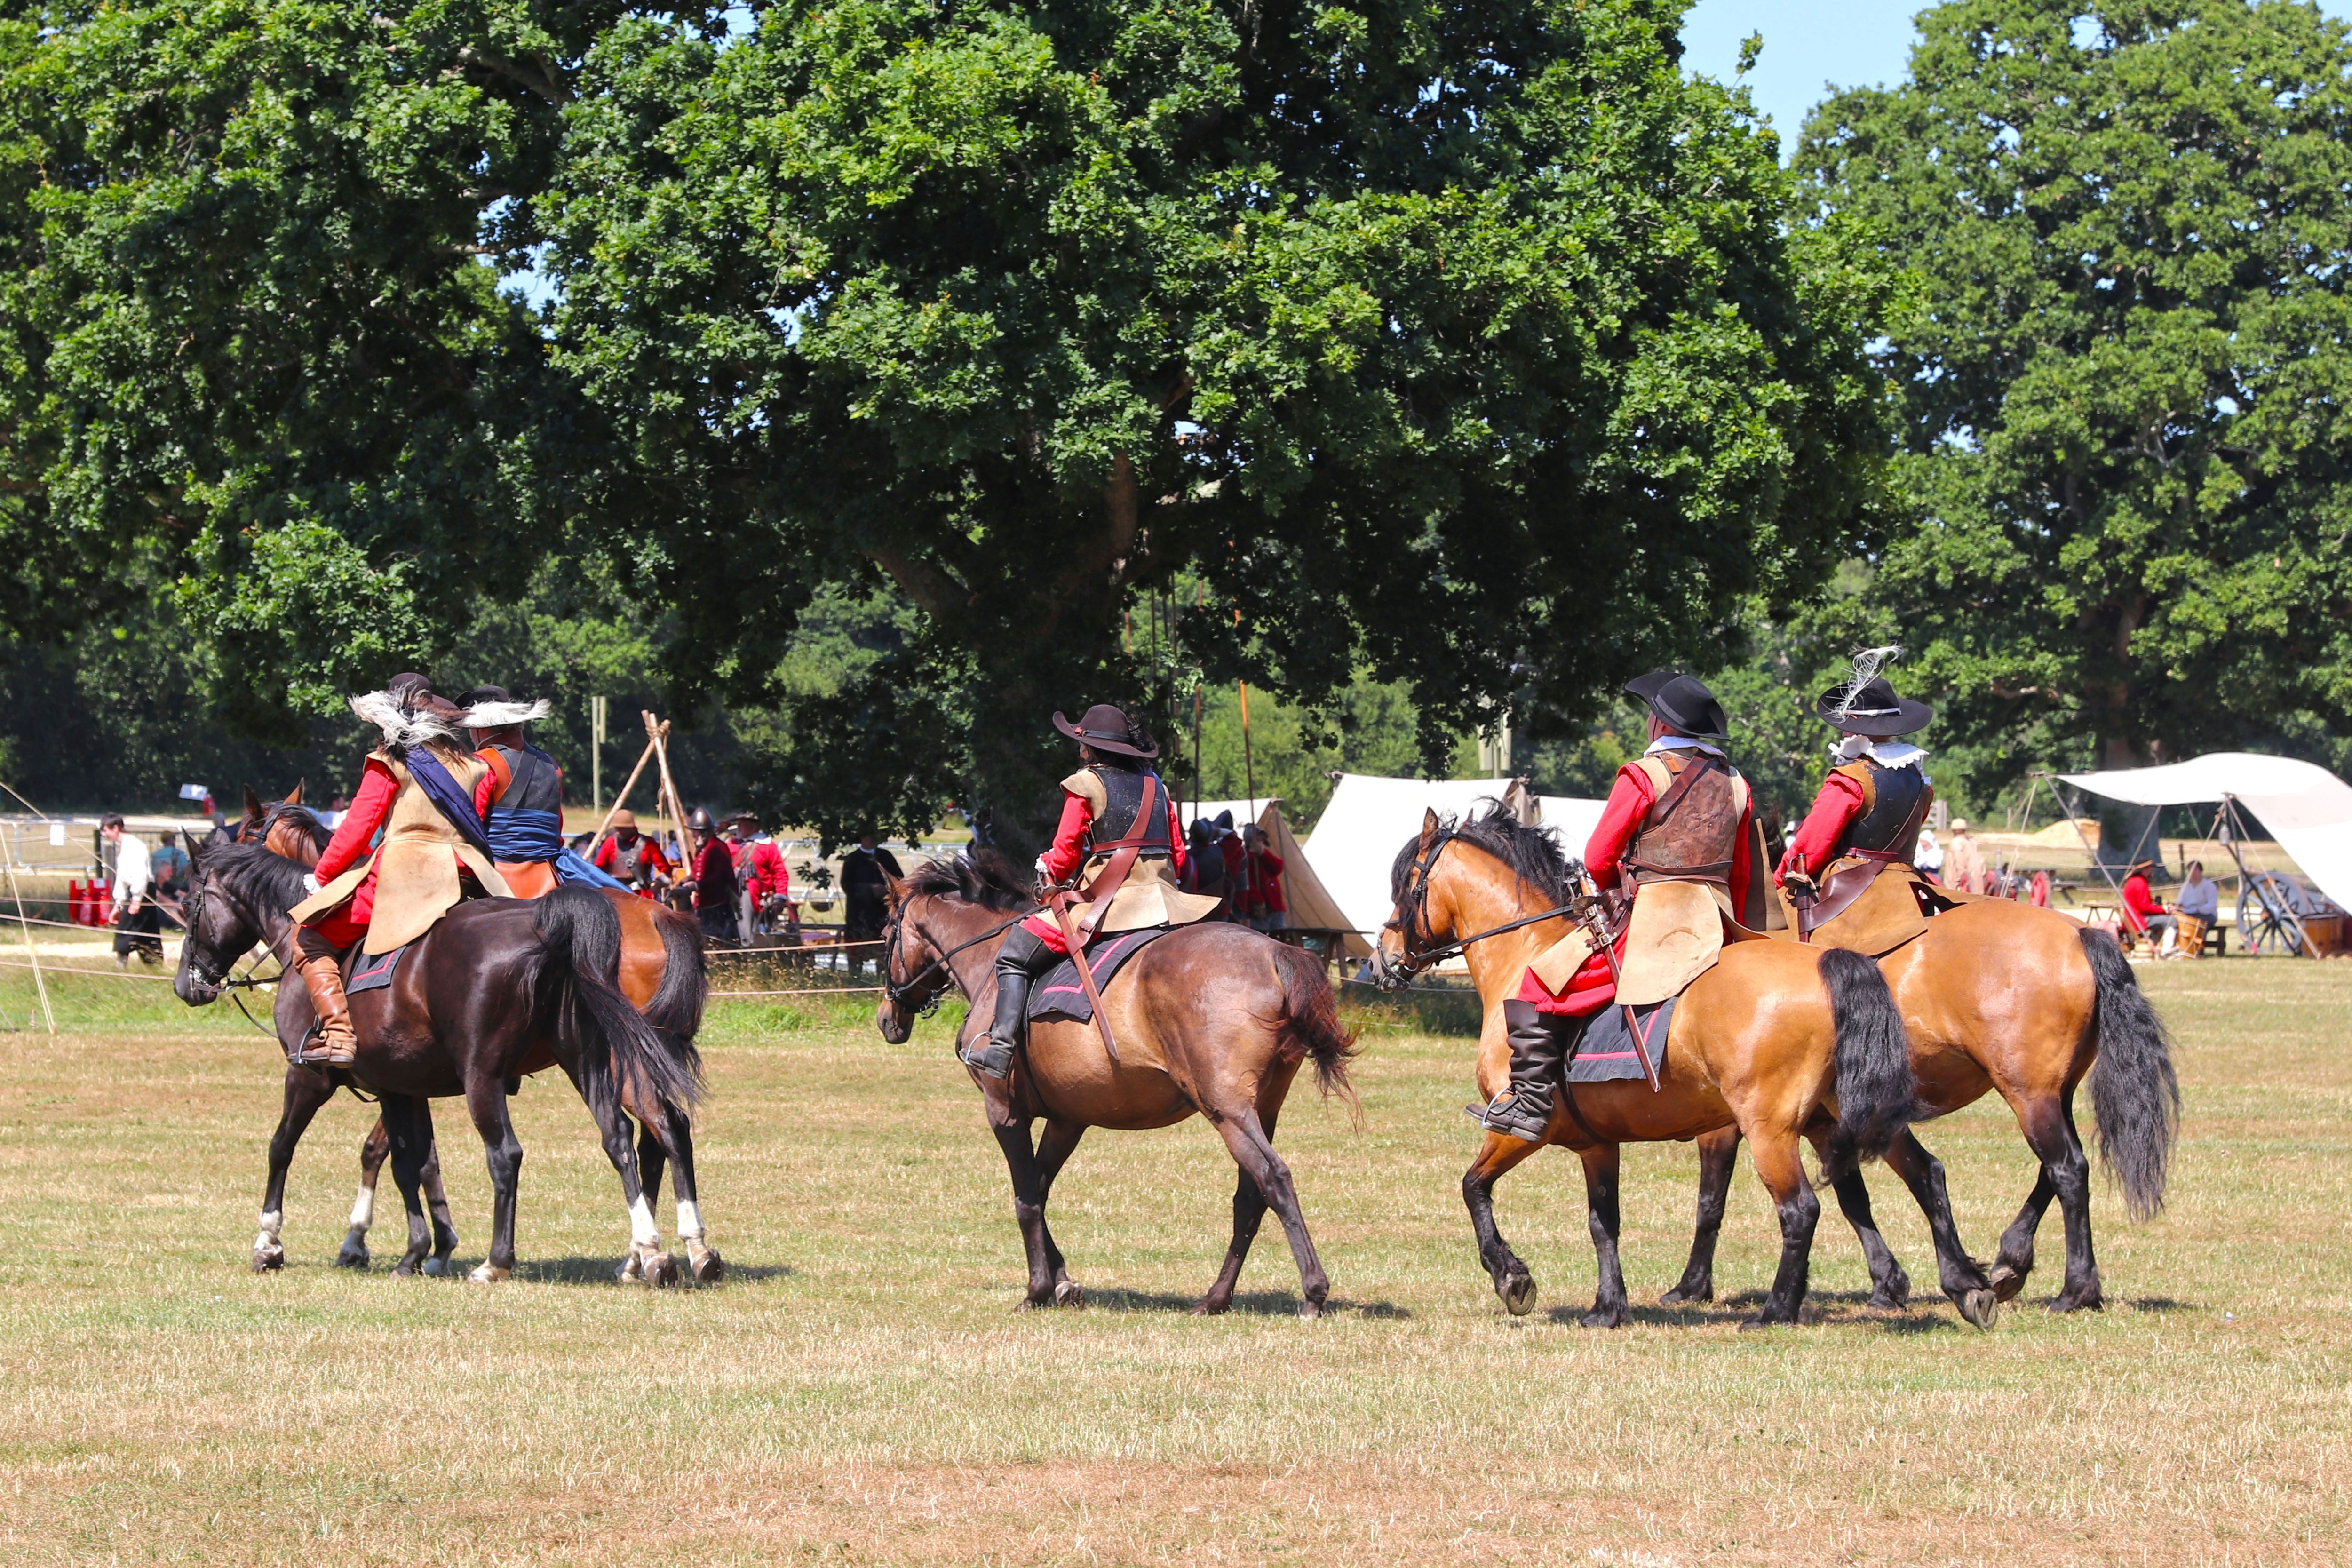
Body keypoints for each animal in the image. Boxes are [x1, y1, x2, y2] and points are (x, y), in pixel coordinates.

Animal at [174, 832, 718, 1284]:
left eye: (187, 901)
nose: (186, 986)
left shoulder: (310, 1079)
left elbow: (285, 1148)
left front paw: (271, 1242)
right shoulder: (402, 1087)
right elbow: (411, 1161)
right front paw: (425, 1250)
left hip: (496, 1077)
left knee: (513, 1154)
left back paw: (500, 1263)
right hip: (590, 1064)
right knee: (635, 1136)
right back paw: (661, 1254)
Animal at [875, 852, 1357, 1317]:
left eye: (885, 936)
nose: (886, 1019)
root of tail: (1274, 953)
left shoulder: (1005, 1113)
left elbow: (1026, 1199)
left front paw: (1038, 1290)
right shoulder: (1067, 1120)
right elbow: (1041, 1189)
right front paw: (1064, 1282)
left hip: (1228, 1112)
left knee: (1274, 1178)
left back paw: (1313, 1294)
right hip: (1262, 1109)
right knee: (1250, 1197)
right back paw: (1216, 1299)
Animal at [1376, 807, 1937, 1329]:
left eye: (1406, 885)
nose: (1384, 958)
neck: (1526, 953)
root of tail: (1822, 961)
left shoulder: (1520, 1132)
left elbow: (1473, 1187)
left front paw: (1511, 1277)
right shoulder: (1597, 1145)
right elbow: (1603, 1223)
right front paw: (1608, 1307)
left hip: (1769, 1130)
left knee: (1801, 1209)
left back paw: (1776, 1310)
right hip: (1835, 1118)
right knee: (1908, 1176)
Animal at [1665, 895, 2179, 1315]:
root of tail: (2078, 933)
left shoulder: (1736, 1121)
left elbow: (1711, 1201)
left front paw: (1691, 1285)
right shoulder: (1821, 1123)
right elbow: (1856, 1196)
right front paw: (1888, 1284)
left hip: (2028, 1096)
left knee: (2066, 1169)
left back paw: (2074, 1290)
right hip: (2049, 1094)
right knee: (2056, 1169)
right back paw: (2012, 1262)